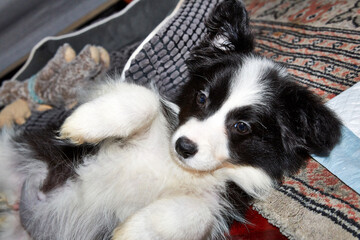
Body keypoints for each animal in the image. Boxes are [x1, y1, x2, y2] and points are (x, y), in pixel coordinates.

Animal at [1, 0, 342, 240]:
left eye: (241, 127)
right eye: (202, 98)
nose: (183, 147)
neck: (178, 168)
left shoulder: (222, 201)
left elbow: (196, 214)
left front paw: (129, 232)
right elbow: (145, 99)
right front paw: (83, 124)